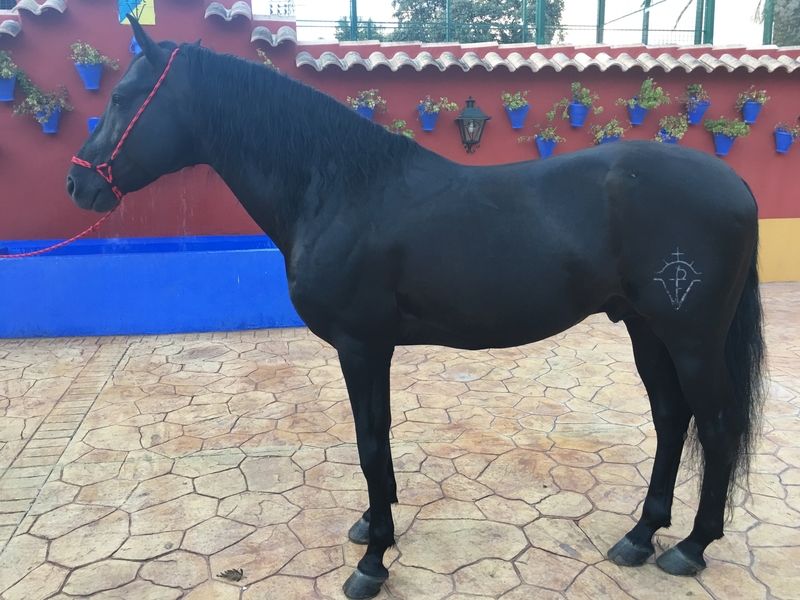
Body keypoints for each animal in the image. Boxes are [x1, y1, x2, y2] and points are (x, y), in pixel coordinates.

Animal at [67, 18, 764, 599]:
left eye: (124, 98)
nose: (79, 183)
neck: (338, 188)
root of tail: (735, 183)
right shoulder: (372, 348)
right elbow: (377, 444)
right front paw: (374, 525)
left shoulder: (361, 345)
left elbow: (370, 444)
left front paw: (372, 563)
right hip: (648, 330)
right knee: (673, 420)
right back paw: (640, 537)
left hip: (692, 339)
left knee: (717, 425)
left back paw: (691, 548)